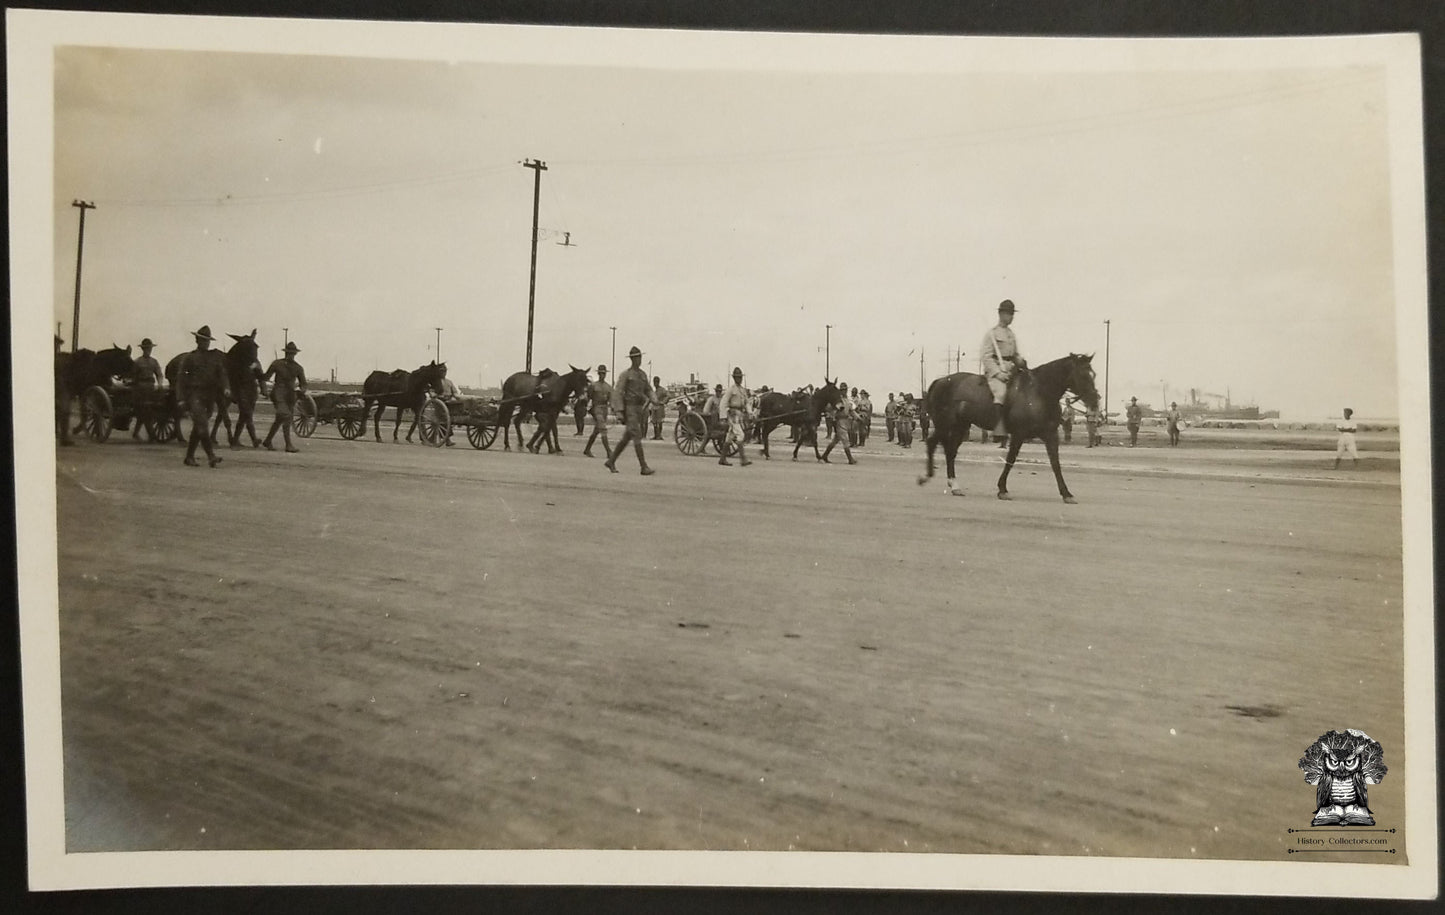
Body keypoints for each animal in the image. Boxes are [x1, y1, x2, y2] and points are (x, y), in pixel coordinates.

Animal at [919, 352, 1098, 503]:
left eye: (1093, 374)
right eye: (1083, 375)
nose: (1095, 401)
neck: (1038, 392)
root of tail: (941, 381)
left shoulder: (1051, 435)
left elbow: (1055, 463)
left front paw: (1066, 493)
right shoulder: (1019, 434)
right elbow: (1010, 459)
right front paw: (1002, 489)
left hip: (960, 427)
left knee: (950, 452)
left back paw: (954, 485)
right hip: (945, 425)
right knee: (933, 443)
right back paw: (926, 477)